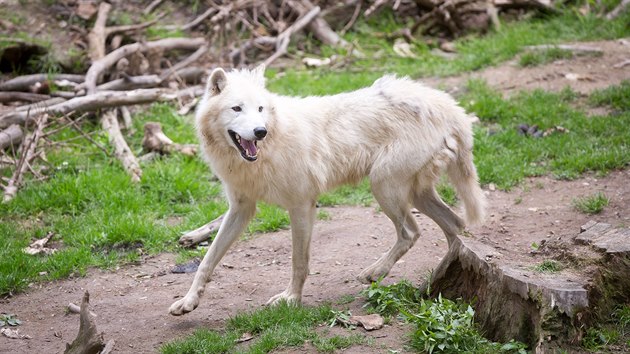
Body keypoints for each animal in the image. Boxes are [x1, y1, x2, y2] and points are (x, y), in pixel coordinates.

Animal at [169, 64, 488, 316]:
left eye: (260, 109)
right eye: (236, 108)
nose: (260, 131)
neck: (270, 144)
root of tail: (449, 106)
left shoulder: (301, 206)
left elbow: (298, 261)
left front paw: (290, 300)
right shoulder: (241, 209)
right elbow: (208, 260)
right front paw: (188, 302)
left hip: (384, 187)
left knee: (412, 232)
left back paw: (375, 273)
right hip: (414, 194)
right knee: (454, 225)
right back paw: (441, 281)